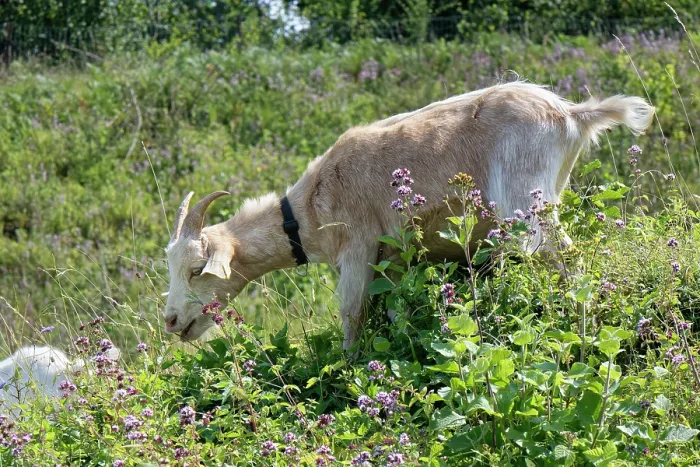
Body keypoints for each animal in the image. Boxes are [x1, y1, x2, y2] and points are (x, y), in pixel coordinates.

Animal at [163, 81, 654, 350]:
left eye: (196, 270)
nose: (170, 322)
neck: (306, 210)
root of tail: (572, 114)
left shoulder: (358, 245)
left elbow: (351, 312)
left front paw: (348, 366)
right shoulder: (395, 258)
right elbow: (397, 310)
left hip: (524, 202)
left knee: (568, 259)